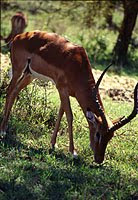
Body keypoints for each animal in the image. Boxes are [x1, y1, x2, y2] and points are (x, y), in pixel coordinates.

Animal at [0, 30, 137, 163]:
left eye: (110, 136)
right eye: (98, 133)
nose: (99, 159)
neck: (77, 64)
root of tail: (18, 37)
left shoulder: (67, 93)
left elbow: (61, 113)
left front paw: (53, 144)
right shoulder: (62, 89)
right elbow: (69, 116)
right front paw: (73, 152)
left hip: (29, 75)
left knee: (15, 92)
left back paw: (5, 128)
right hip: (18, 70)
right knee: (9, 90)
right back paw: (2, 131)